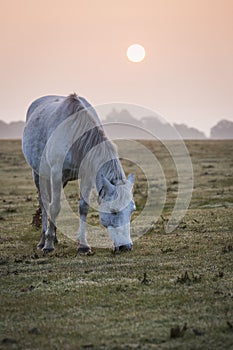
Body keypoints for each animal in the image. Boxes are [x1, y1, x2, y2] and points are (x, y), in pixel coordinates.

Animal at [22, 93, 135, 252]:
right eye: (113, 211)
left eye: (132, 210)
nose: (126, 246)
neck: (74, 133)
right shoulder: (56, 173)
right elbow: (55, 207)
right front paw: (48, 245)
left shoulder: (86, 174)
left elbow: (83, 207)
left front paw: (83, 245)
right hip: (39, 174)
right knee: (44, 203)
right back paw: (43, 240)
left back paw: (55, 236)